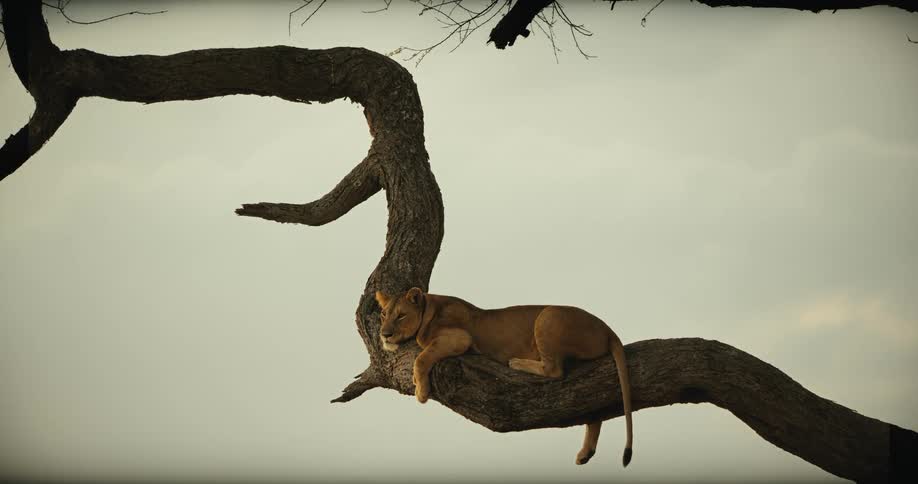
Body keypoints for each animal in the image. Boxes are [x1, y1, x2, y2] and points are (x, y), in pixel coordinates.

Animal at [375, 287, 634, 467]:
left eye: (401, 316)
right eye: (383, 315)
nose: (384, 334)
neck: (430, 307)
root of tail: (607, 329)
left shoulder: (459, 338)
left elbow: (421, 358)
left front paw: (421, 391)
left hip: (548, 315)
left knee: (555, 370)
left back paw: (516, 362)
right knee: (593, 406)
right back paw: (585, 453)